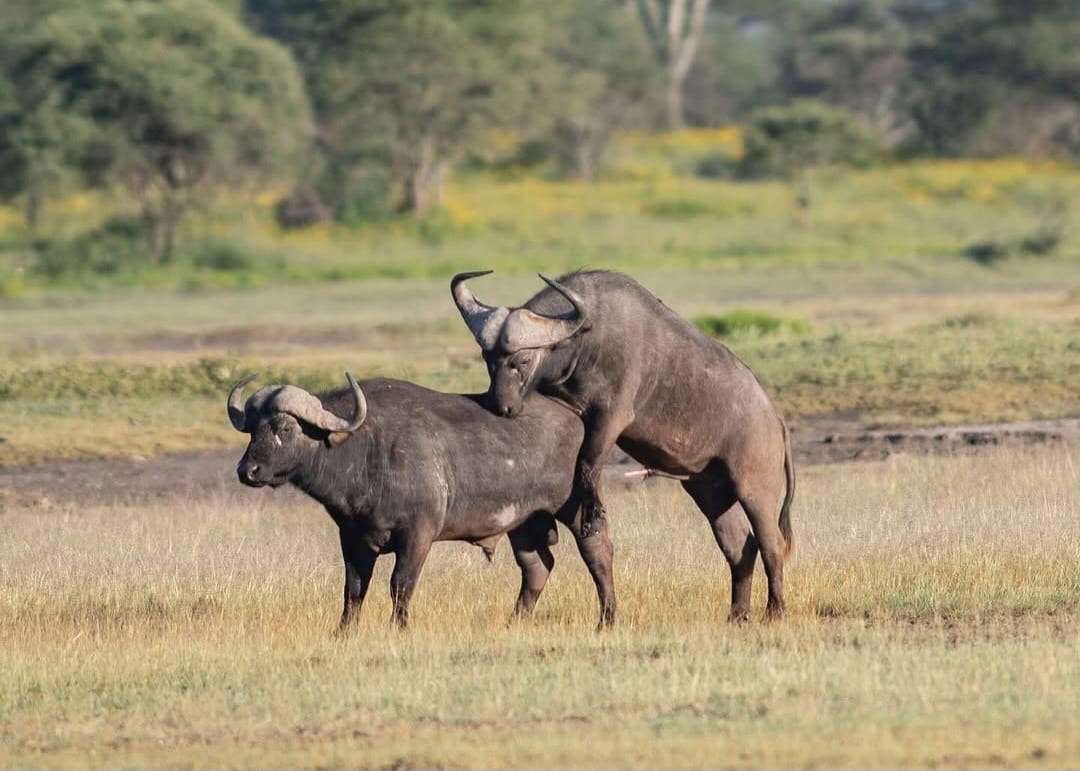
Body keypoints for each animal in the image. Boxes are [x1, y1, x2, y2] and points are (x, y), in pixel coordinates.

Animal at [228, 373, 616, 629]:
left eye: (285, 428)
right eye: (253, 428)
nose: (247, 470)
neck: (368, 451)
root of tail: (576, 416)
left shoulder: (418, 535)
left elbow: (400, 585)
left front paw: (398, 628)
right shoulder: (352, 539)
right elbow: (353, 589)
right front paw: (343, 632)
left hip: (578, 508)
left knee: (598, 555)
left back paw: (607, 618)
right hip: (525, 522)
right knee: (537, 566)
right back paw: (514, 621)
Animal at [451, 269, 794, 620]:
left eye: (522, 359)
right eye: (488, 358)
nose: (500, 406)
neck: (586, 341)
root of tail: (774, 418)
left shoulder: (611, 417)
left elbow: (588, 463)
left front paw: (592, 516)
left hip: (754, 489)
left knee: (771, 544)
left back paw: (775, 610)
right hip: (711, 492)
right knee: (740, 547)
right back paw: (738, 614)